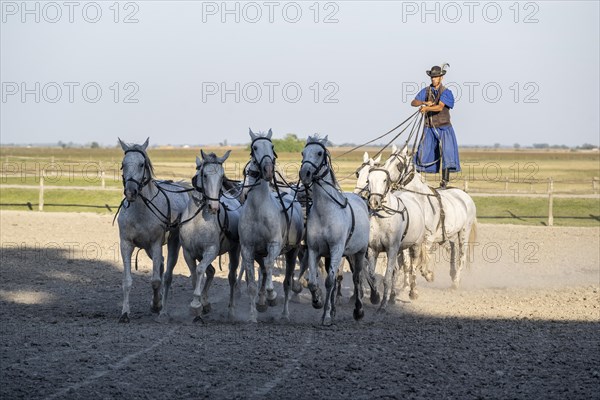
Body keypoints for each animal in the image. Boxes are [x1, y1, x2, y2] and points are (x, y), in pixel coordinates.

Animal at [117, 138, 190, 322]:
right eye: (123, 164)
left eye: (142, 164)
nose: (130, 191)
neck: (140, 212)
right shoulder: (126, 244)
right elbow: (127, 281)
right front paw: (125, 313)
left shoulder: (156, 244)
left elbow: (156, 280)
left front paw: (156, 306)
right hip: (148, 249)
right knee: (162, 265)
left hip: (172, 242)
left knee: (167, 275)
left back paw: (162, 310)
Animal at [178, 150, 241, 322]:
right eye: (205, 175)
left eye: (222, 176)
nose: (214, 207)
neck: (197, 220)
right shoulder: (188, 252)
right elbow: (194, 274)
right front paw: (199, 303)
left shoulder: (211, 250)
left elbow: (200, 270)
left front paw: (196, 304)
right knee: (211, 271)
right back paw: (206, 303)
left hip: (235, 251)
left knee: (231, 278)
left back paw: (231, 311)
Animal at [238, 130, 304, 324]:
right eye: (254, 147)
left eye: (272, 146)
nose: (267, 171)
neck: (258, 210)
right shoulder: (248, 249)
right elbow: (252, 284)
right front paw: (253, 315)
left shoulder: (274, 245)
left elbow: (269, 267)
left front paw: (272, 295)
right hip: (260, 253)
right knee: (263, 271)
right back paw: (261, 302)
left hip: (293, 252)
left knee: (286, 282)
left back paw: (284, 314)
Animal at [300, 134, 370, 324]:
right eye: (303, 152)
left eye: (319, 152)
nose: (304, 173)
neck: (326, 212)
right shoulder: (314, 250)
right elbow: (312, 281)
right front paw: (317, 301)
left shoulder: (337, 249)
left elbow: (330, 281)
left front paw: (326, 316)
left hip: (359, 252)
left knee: (357, 278)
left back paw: (358, 311)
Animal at [384, 145, 478, 290]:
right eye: (386, 162)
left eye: (398, 165)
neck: (418, 200)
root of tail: (465, 195)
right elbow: (407, 263)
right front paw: (406, 286)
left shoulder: (429, 237)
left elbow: (422, 261)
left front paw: (428, 275)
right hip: (447, 235)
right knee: (452, 248)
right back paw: (452, 275)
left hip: (464, 232)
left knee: (462, 256)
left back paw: (456, 282)